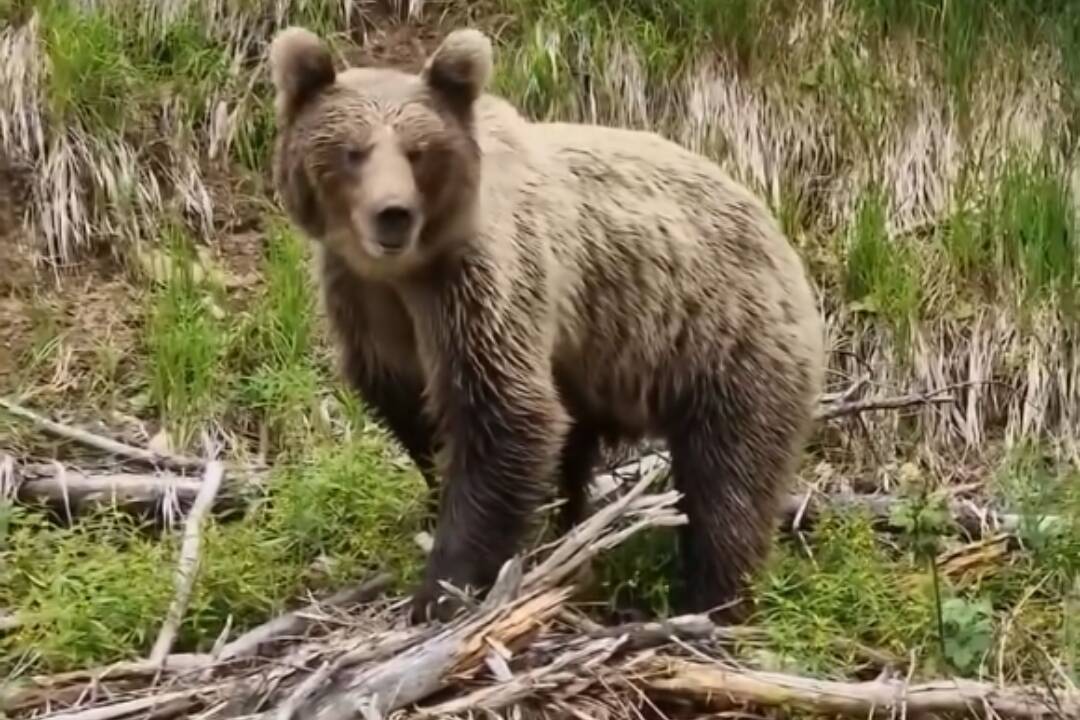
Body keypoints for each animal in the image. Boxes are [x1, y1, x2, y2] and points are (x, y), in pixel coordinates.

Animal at [267, 26, 825, 626]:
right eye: (353, 151)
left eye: (418, 152)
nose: (392, 214)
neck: (404, 273)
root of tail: (778, 231)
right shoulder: (364, 303)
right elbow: (413, 409)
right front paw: (436, 506)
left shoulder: (481, 283)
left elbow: (506, 415)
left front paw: (440, 590)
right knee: (584, 450)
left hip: (725, 337)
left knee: (729, 483)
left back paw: (711, 601)